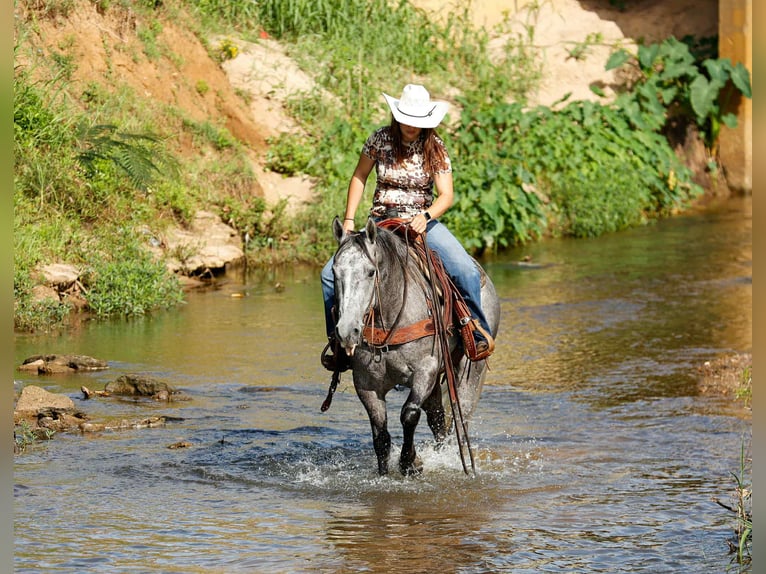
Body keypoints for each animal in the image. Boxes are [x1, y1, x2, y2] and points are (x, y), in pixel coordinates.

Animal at [329, 216, 500, 476]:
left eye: (371, 272)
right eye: (334, 271)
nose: (347, 331)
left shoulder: (425, 370)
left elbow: (409, 414)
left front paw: (410, 463)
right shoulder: (366, 384)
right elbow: (381, 435)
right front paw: (386, 472)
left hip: (470, 372)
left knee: (460, 420)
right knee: (437, 419)